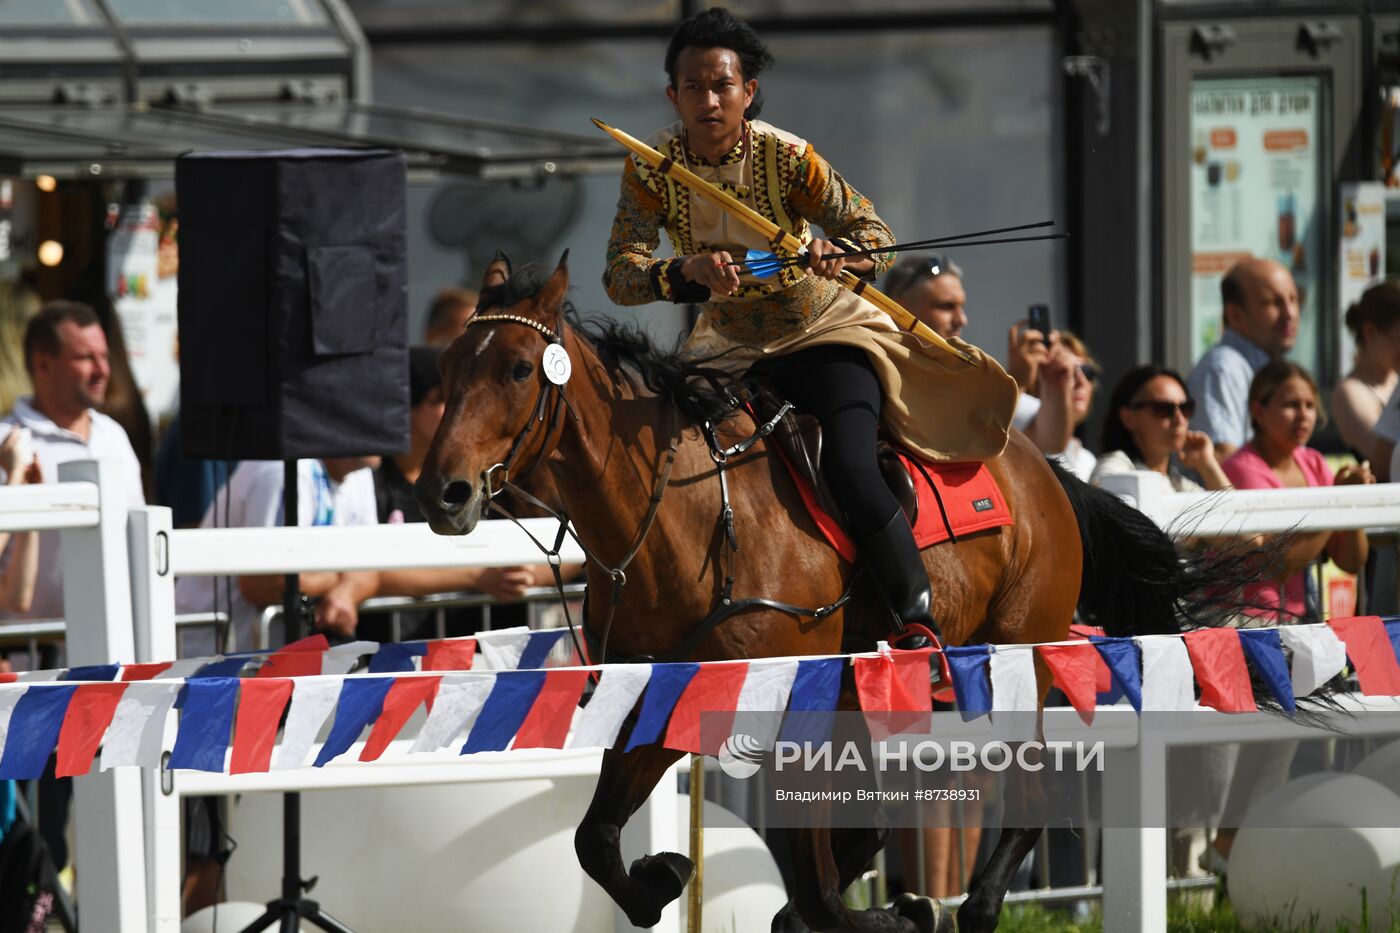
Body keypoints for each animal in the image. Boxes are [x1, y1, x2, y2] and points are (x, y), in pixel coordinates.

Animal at [414, 254, 1226, 930]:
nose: (443, 492)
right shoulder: (676, 692)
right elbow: (597, 839)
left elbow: (817, 888)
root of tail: (1046, 468)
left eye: (520, 368)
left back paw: (970, 907)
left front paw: (896, 914)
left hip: (1015, 657)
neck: (690, 518)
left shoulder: (785, 705)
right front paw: (664, 875)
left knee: (1028, 802)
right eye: (447, 366)